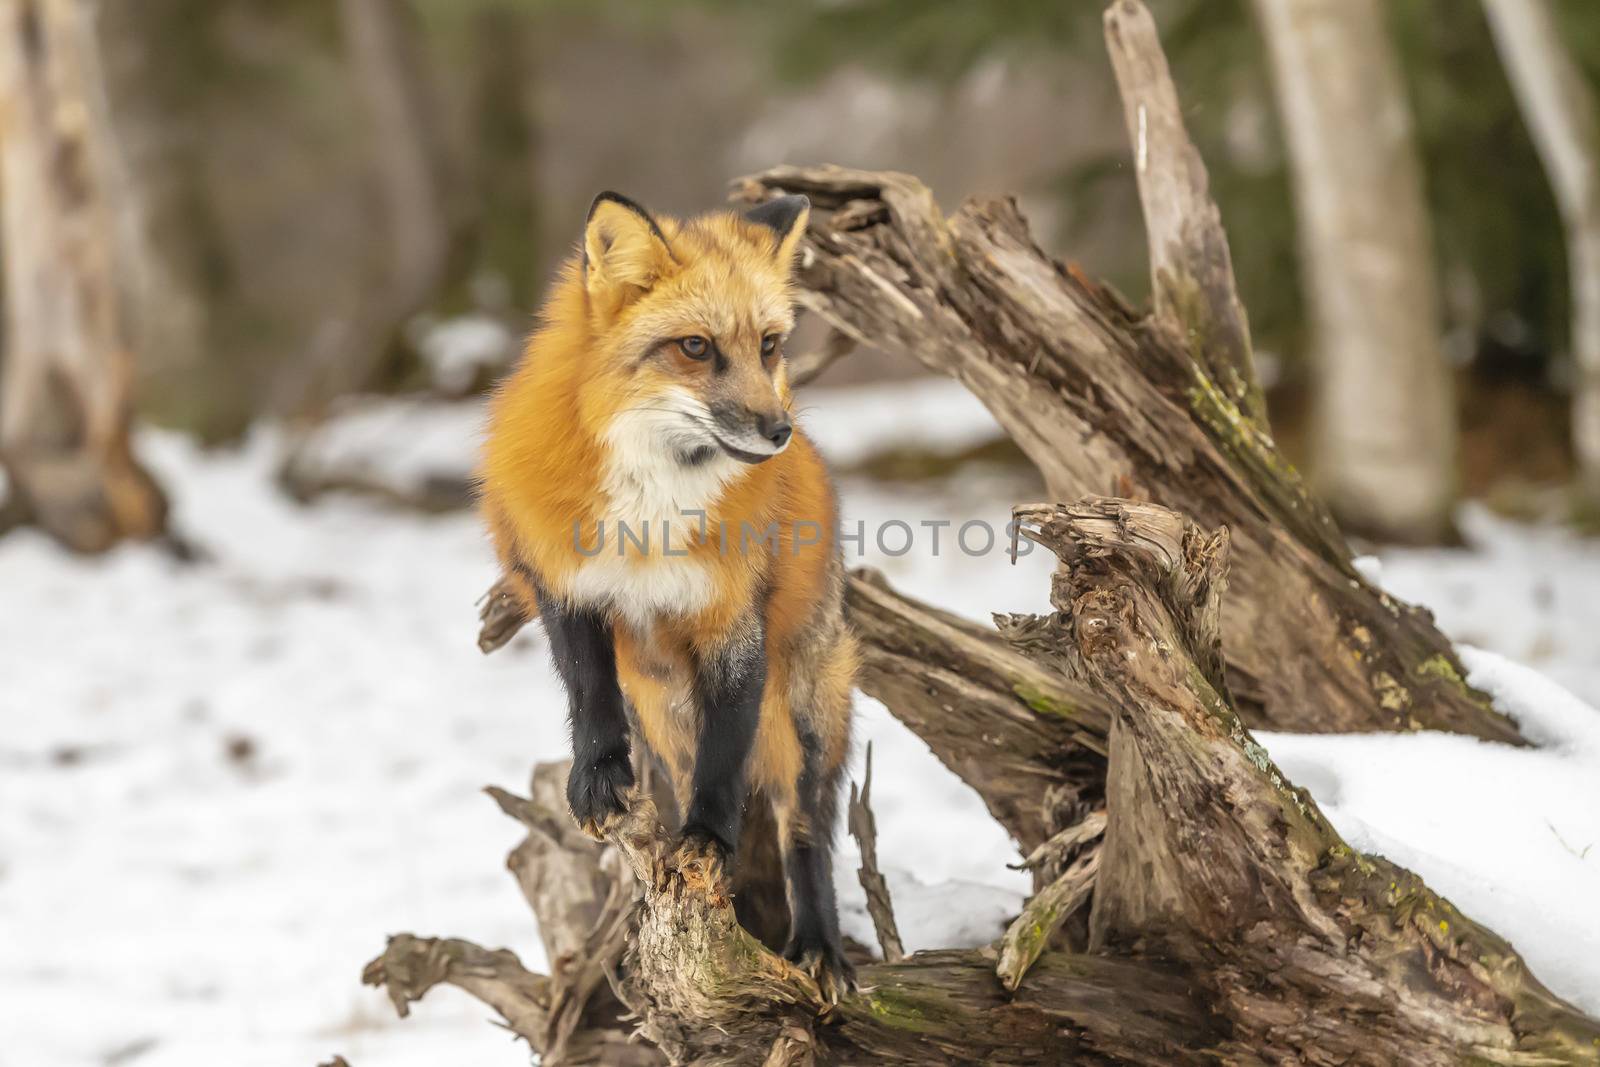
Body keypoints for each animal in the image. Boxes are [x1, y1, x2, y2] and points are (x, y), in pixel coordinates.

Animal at [480, 187, 864, 998]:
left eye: (769, 346)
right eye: (695, 347)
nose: (779, 430)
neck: (652, 506)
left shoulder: (731, 620)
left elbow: (727, 756)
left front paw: (708, 839)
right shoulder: (569, 590)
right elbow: (589, 697)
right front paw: (598, 779)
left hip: (804, 714)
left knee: (804, 827)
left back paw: (817, 945)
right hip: (663, 707)